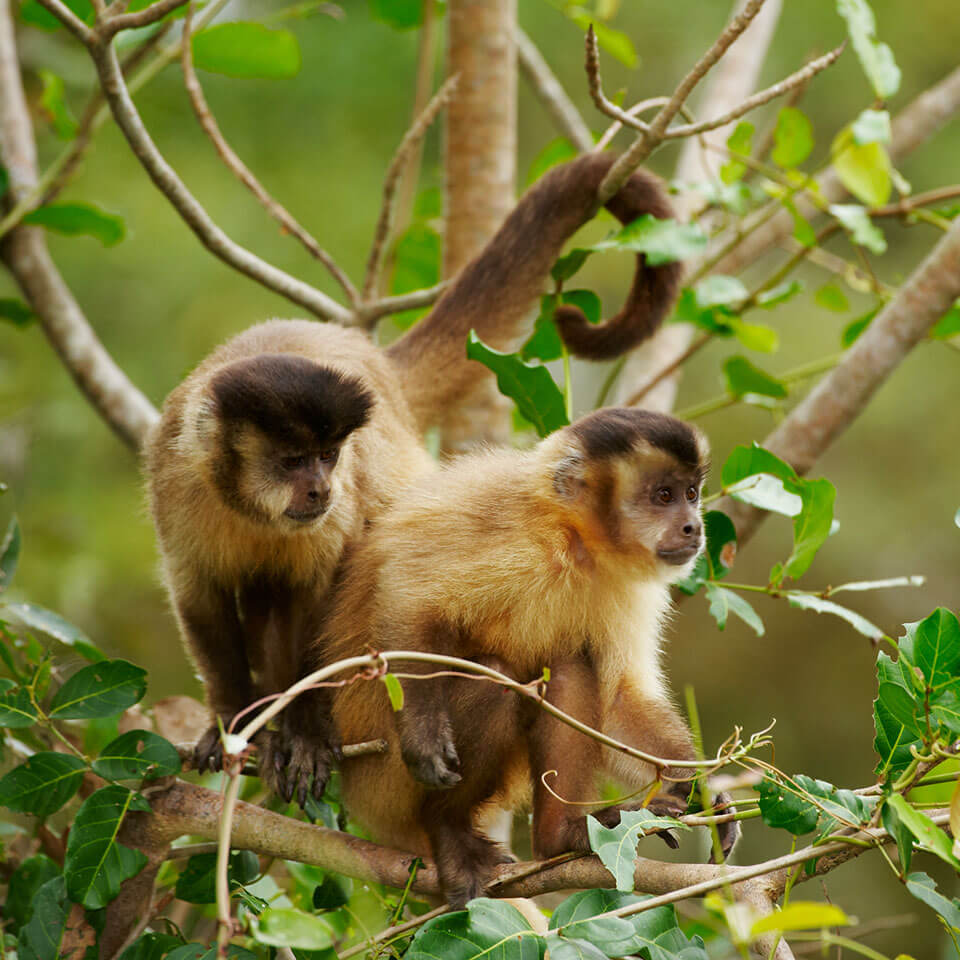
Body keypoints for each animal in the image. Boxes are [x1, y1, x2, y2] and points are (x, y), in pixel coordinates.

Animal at [145, 151, 684, 795]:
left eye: (328, 456)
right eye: (293, 459)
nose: (320, 488)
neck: (248, 508)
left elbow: (318, 601)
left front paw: (304, 730)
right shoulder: (175, 479)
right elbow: (198, 596)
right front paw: (228, 721)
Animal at [285, 406, 739, 907]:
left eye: (691, 494)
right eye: (664, 496)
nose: (694, 526)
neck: (575, 538)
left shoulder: (624, 584)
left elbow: (620, 701)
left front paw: (698, 792)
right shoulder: (514, 534)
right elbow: (408, 595)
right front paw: (423, 736)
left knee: (570, 665)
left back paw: (562, 837)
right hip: (382, 780)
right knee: (495, 680)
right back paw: (448, 829)